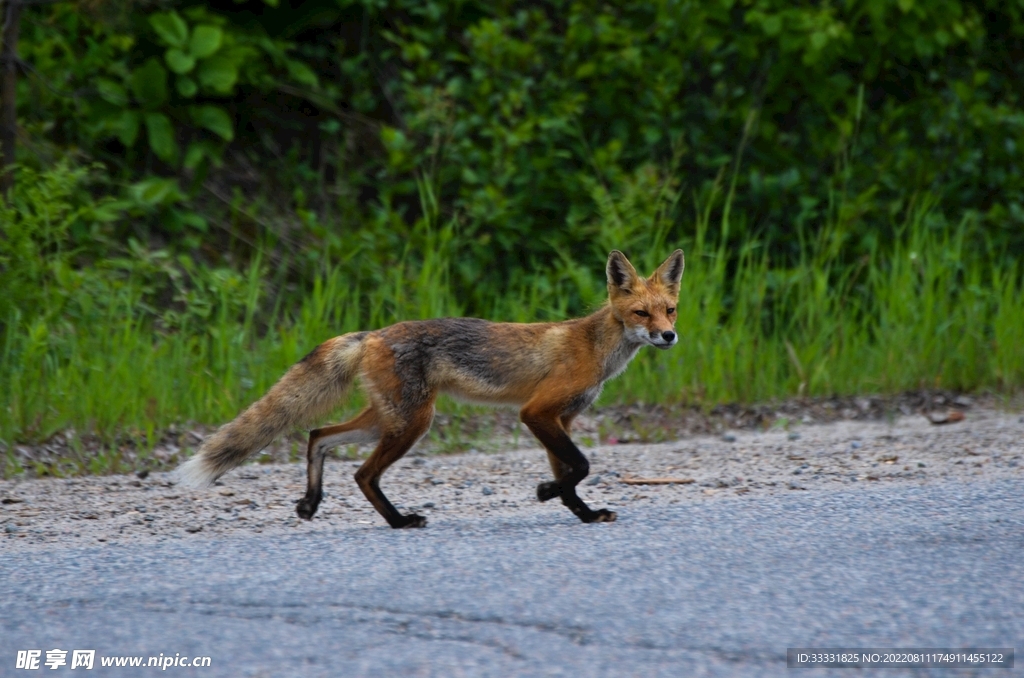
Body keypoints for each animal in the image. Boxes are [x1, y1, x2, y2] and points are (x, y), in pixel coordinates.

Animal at [177, 250, 684, 532]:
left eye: (670, 310)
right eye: (641, 313)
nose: (669, 336)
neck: (596, 348)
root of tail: (373, 333)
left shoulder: (561, 418)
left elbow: (571, 476)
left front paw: (584, 513)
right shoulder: (538, 412)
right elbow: (579, 466)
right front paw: (545, 492)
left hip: (386, 419)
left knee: (318, 435)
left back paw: (312, 502)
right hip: (413, 421)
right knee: (362, 474)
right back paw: (399, 521)